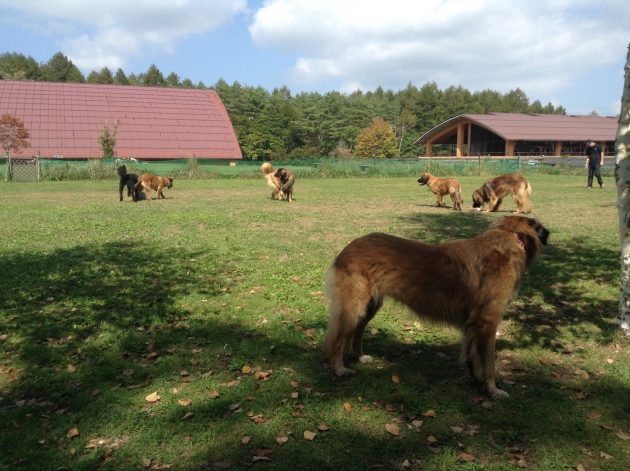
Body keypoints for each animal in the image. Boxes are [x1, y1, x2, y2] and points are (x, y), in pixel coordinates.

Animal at [324, 217, 552, 398]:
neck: (511, 239)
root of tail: (348, 248)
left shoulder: (473, 325)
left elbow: (472, 355)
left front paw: (475, 380)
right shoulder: (486, 322)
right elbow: (489, 363)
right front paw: (493, 390)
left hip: (370, 306)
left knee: (356, 332)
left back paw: (360, 357)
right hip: (355, 307)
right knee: (337, 338)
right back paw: (339, 369)